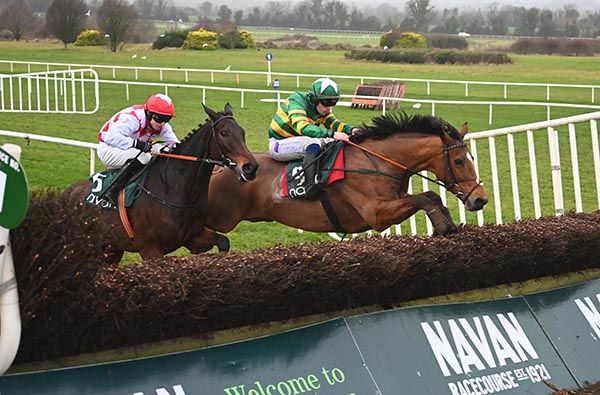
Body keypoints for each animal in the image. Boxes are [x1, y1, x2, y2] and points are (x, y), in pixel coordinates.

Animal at [63, 103, 258, 262]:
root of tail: (68, 192)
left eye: (242, 132)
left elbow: (223, 241)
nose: (251, 167)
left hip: (111, 250)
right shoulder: (150, 248)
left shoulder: (193, 236)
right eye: (224, 133)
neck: (173, 188)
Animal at [188, 112, 488, 254]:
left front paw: (447, 224)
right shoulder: (376, 213)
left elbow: (431, 196)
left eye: (472, 157)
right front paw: (442, 225)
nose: (480, 199)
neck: (377, 161)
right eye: (459, 161)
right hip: (219, 215)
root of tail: (223, 168)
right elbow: (424, 197)